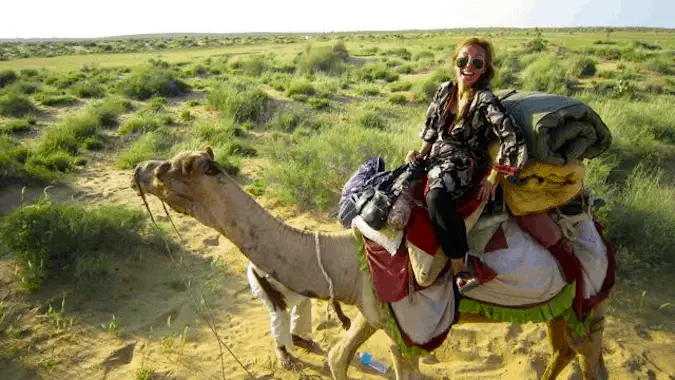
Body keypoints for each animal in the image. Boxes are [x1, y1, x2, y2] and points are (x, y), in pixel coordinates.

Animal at [131, 147, 612, 378]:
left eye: (170, 170)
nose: (137, 169)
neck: (346, 257)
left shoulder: (407, 334)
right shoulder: (371, 309)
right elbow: (336, 359)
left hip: (591, 301)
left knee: (591, 359)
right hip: (559, 304)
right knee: (563, 349)